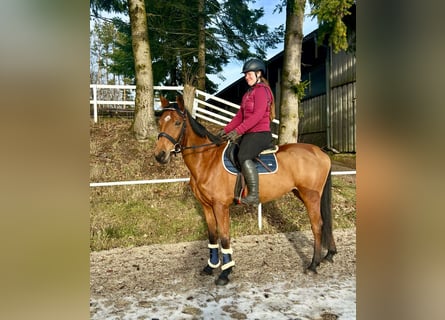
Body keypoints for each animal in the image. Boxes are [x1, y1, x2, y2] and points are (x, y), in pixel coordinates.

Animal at [153, 95, 336, 284]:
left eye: (177, 123)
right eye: (160, 122)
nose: (160, 155)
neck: (207, 160)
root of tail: (320, 152)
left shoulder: (220, 206)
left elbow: (224, 237)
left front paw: (225, 273)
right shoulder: (207, 207)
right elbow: (212, 236)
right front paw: (210, 267)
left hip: (310, 196)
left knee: (317, 225)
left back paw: (313, 264)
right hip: (303, 194)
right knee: (326, 221)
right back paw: (329, 254)